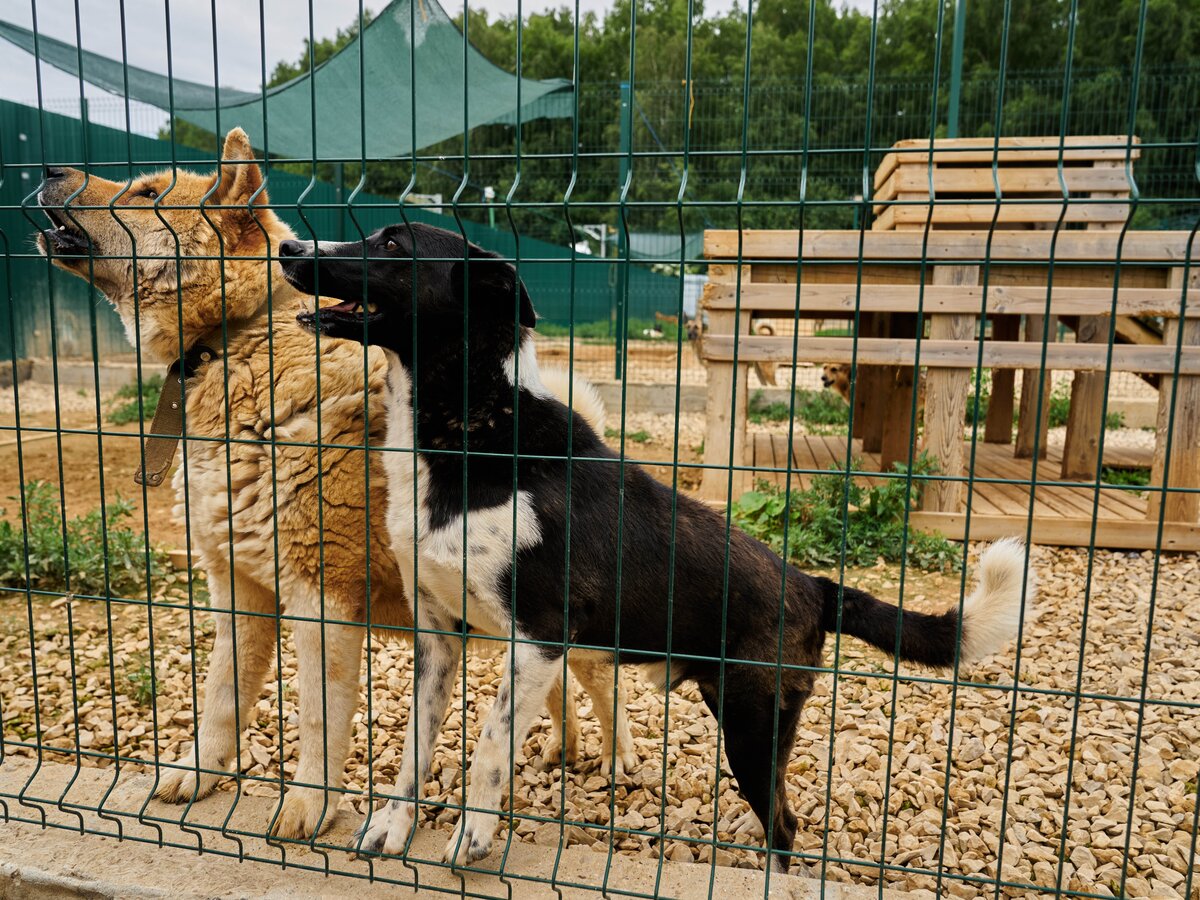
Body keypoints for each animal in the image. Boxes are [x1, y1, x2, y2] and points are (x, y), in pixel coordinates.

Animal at [37, 130, 633, 844]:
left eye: (148, 193)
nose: (49, 169)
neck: (244, 344)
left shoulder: (320, 599)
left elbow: (318, 718)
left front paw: (307, 808)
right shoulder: (237, 591)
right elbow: (221, 700)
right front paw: (199, 774)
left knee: (602, 685)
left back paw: (619, 760)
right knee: (556, 686)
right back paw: (563, 749)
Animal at [285, 222, 1036, 878]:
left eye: (392, 245)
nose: (290, 248)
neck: (476, 434)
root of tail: (813, 584)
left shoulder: (539, 638)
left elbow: (491, 745)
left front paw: (473, 836)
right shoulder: (438, 633)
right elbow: (414, 748)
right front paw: (393, 826)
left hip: (753, 726)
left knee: (786, 823)